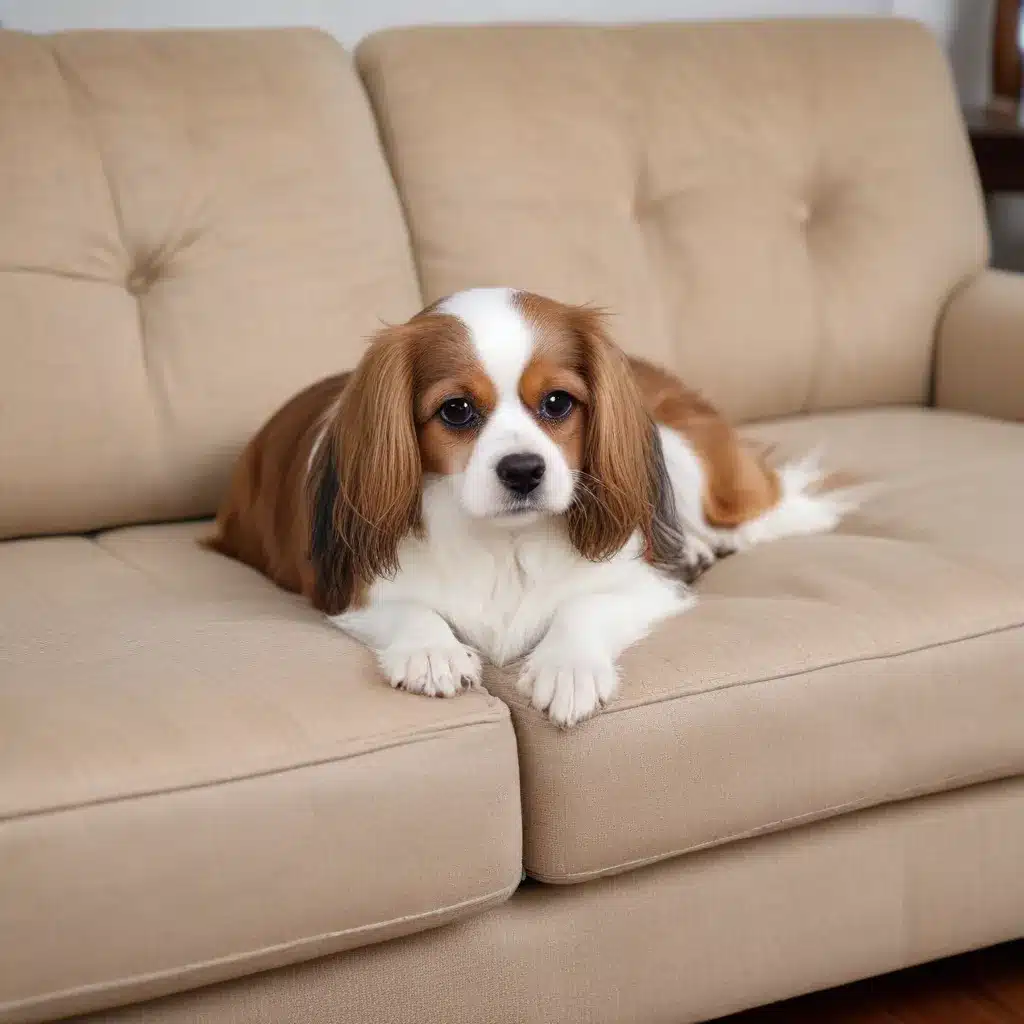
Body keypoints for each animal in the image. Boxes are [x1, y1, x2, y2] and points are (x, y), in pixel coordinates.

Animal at [207, 288, 847, 729]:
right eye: (457, 410)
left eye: (558, 402)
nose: (523, 470)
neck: (504, 541)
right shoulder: (344, 588)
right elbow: (409, 609)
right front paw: (432, 651)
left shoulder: (647, 585)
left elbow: (586, 606)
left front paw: (568, 668)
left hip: (675, 448)